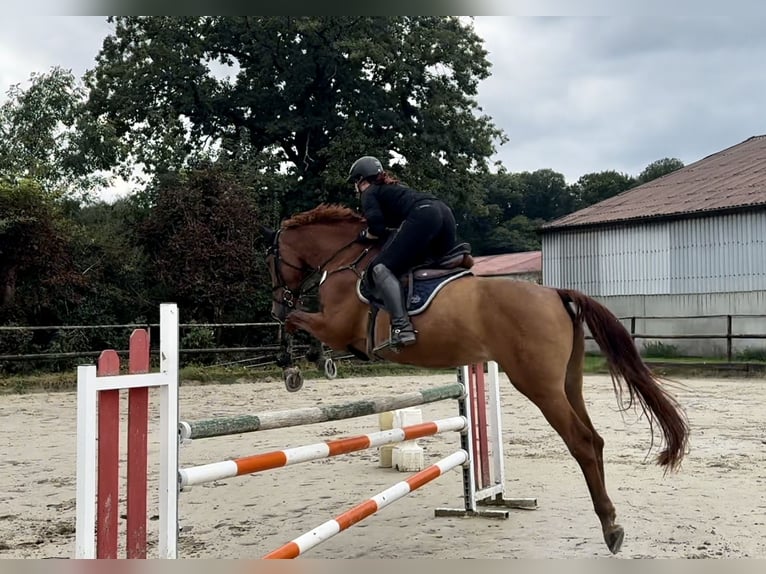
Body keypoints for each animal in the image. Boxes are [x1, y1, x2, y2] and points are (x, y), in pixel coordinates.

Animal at [259, 203, 689, 555]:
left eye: (272, 260)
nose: (276, 301)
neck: (346, 258)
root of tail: (553, 292)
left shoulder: (334, 326)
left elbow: (296, 322)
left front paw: (295, 363)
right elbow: (297, 324)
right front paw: (305, 359)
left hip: (539, 386)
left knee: (582, 442)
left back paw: (609, 528)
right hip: (569, 383)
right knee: (595, 439)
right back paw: (611, 521)